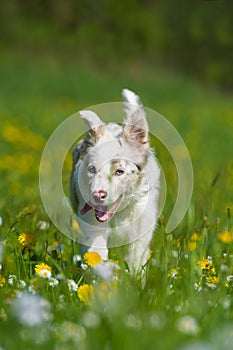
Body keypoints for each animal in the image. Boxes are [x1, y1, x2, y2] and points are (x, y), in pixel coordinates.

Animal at [69, 88, 160, 274]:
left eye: (119, 171)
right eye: (92, 169)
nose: (97, 195)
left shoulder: (140, 233)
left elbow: (136, 263)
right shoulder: (91, 223)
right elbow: (96, 253)